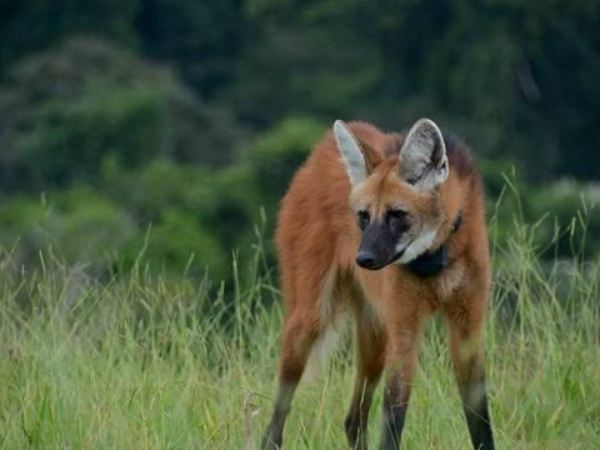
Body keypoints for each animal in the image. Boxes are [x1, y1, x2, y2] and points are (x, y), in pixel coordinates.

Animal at [262, 119, 492, 450]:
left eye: (397, 214)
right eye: (364, 216)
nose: (364, 259)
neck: (436, 257)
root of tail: (320, 149)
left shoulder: (467, 332)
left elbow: (481, 422)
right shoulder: (404, 333)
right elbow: (394, 417)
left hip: (376, 334)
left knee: (353, 419)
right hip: (310, 319)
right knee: (275, 422)